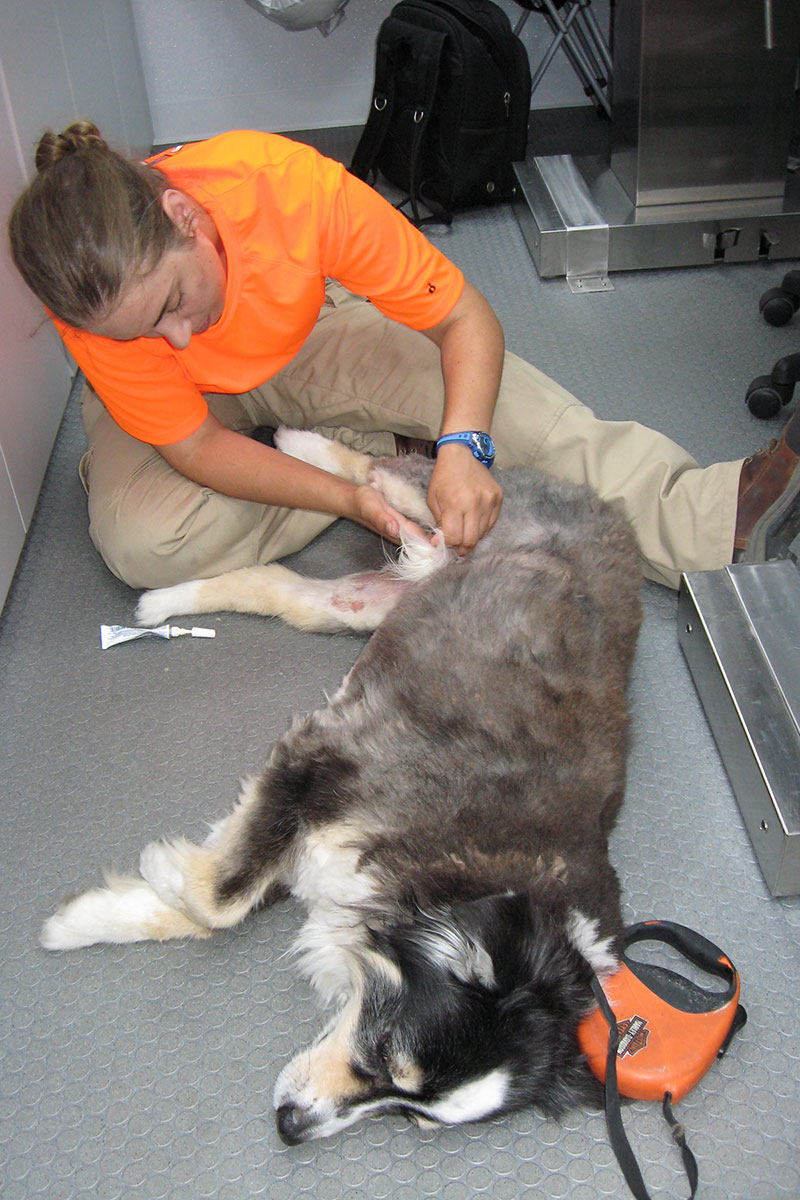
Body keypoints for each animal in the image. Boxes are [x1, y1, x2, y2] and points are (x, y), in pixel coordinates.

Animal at [43, 429, 642, 1142]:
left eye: (410, 1114)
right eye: (386, 1054)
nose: (291, 1127)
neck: (459, 883)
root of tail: (610, 511)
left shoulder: (320, 863)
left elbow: (205, 904)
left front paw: (77, 921)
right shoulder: (315, 763)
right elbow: (220, 896)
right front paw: (159, 870)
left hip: (364, 608)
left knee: (280, 587)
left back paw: (165, 602)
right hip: (440, 504)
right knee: (380, 471)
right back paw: (302, 445)